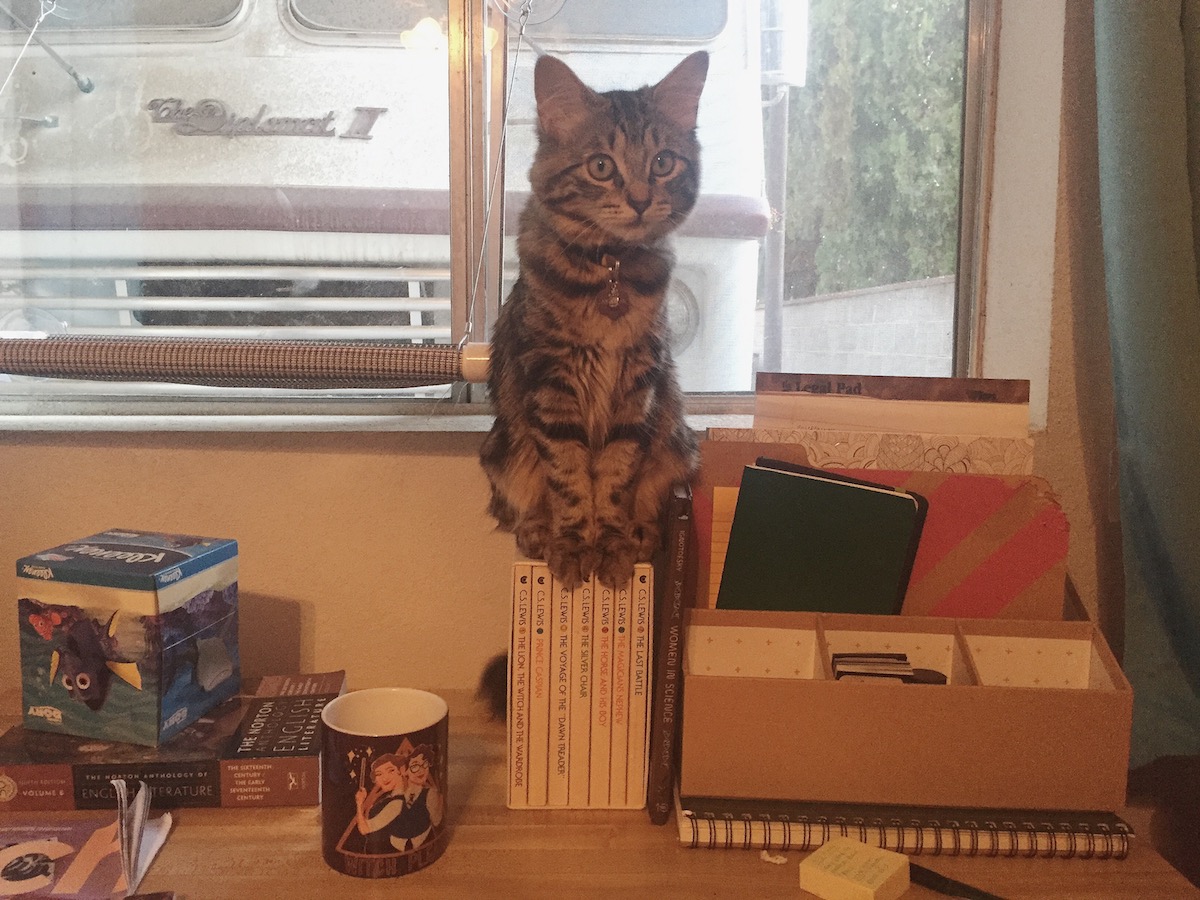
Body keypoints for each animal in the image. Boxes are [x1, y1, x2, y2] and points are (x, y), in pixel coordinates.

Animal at [477, 52, 700, 595]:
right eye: (602, 167)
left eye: (662, 162)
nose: (640, 199)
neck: (610, 272)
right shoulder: (552, 383)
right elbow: (570, 477)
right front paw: (575, 546)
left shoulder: (638, 386)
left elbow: (617, 478)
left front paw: (615, 546)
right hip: (504, 449)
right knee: (519, 505)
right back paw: (539, 532)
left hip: (676, 444)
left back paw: (641, 534)